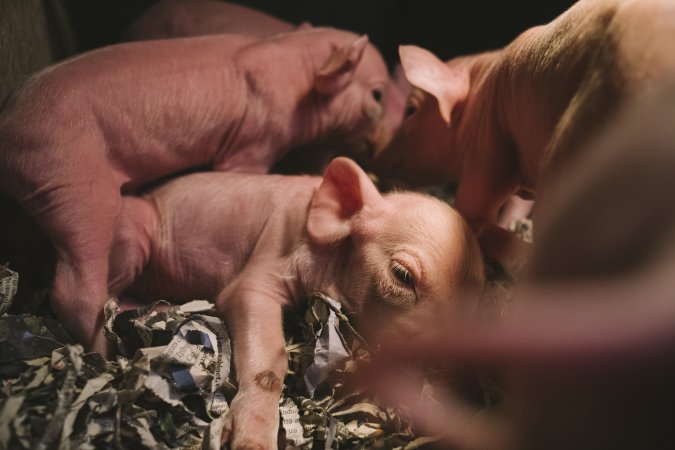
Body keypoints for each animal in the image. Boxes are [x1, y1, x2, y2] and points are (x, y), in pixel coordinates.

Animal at [0, 27, 394, 354]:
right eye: (377, 94)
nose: (381, 150)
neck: (298, 73)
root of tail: (7, 121)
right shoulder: (252, 141)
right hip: (72, 182)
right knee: (75, 288)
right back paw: (108, 350)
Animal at [106, 157, 485, 449]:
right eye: (402, 275)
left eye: (475, 301)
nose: (461, 372)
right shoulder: (268, 255)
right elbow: (264, 341)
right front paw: (252, 444)